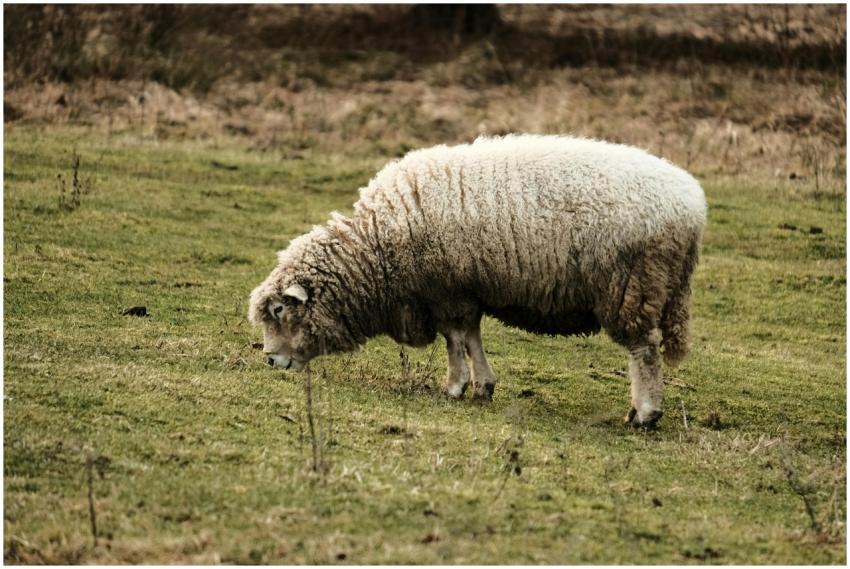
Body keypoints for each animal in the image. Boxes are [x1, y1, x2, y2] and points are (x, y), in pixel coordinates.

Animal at [249, 134, 706, 428]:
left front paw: (455, 386)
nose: (271, 360)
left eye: (280, 310)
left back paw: (644, 414)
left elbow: (455, 340)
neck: (377, 247)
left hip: (633, 285)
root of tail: (693, 207)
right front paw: (482, 386)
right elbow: (470, 338)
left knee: (644, 352)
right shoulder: (461, 292)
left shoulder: (445, 291)